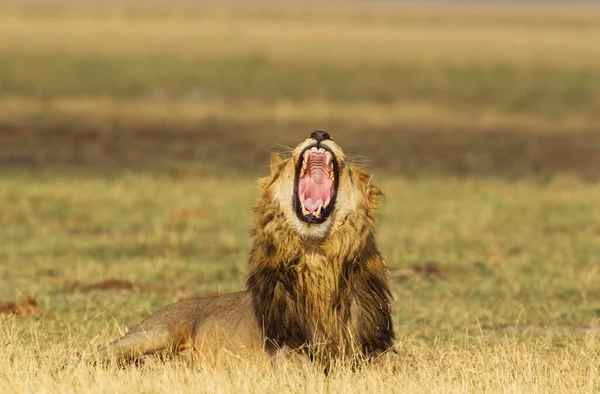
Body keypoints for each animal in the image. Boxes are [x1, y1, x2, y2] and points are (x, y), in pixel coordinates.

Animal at [94, 131, 394, 368]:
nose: (320, 133)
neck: (316, 255)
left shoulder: (374, 345)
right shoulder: (284, 346)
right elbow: (303, 367)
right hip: (152, 334)